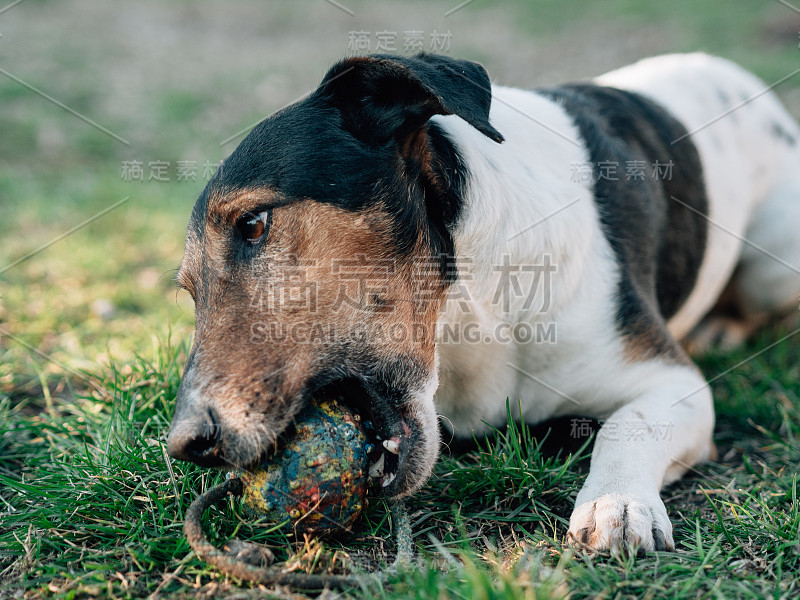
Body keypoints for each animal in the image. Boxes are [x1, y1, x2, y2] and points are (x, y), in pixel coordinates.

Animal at [169, 52, 800, 552]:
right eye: (189, 290)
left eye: (253, 224)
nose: (184, 444)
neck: (467, 311)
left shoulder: (673, 382)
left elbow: (629, 425)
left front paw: (618, 503)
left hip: (773, 264)